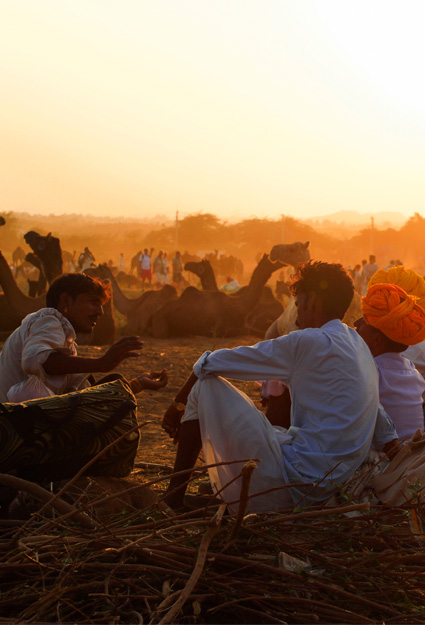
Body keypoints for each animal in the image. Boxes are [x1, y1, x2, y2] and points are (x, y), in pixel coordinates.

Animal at [151, 252, 284, 336]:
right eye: (272, 260)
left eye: (198, 264)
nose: (186, 265)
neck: (239, 306)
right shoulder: (219, 328)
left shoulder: (246, 326)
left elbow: (247, 331)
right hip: (160, 323)